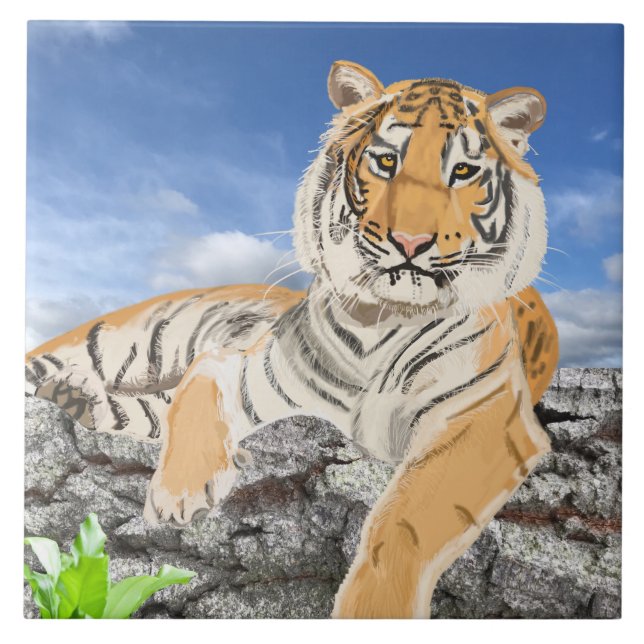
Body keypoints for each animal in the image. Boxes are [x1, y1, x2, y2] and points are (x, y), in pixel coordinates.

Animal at [25, 61, 559, 618]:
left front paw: (372, 610)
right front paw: (179, 491)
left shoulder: (489, 415)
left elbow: (405, 517)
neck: (383, 320)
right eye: (386, 161)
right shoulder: (244, 367)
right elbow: (198, 391)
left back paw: (74, 394)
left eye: (462, 172)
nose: (410, 242)